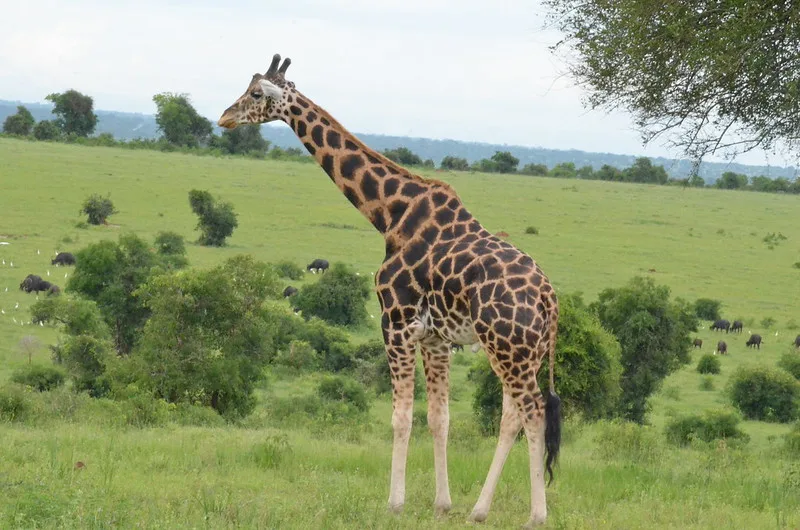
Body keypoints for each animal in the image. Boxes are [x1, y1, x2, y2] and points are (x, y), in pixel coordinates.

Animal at [216, 52, 560, 524]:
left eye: (254, 94)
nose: (224, 118)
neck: (390, 215)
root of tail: (549, 299)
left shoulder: (394, 322)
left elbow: (401, 417)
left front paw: (394, 502)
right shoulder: (435, 336)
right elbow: (438, 418)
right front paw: (441, 504)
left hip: (508, 347)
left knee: (534, 412)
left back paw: (537, 515)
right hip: (523, 351)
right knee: (513, 415)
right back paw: (479, 510)